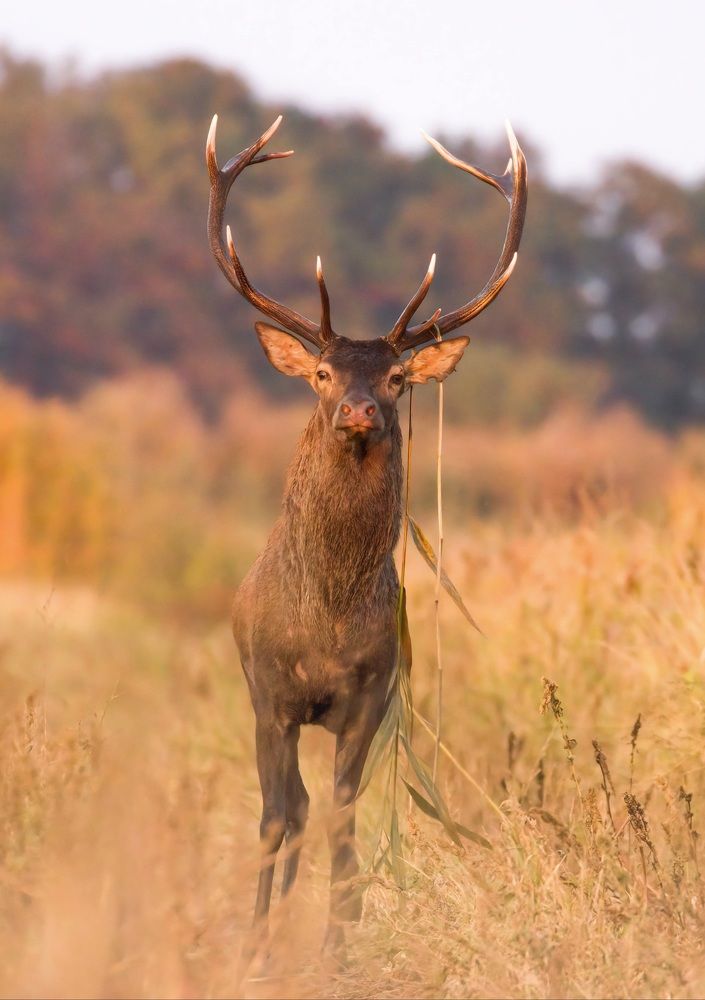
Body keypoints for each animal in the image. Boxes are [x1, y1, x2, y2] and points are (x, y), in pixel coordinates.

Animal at [205, 112, 526, 951]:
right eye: (322, 374)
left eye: (396, 378)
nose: (359, 410)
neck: (326, 621)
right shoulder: (270, 695)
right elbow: (273, 818)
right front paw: (255, 949)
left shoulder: (370, 697)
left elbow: (345, 824)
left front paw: (336, 945)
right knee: (288, 808)